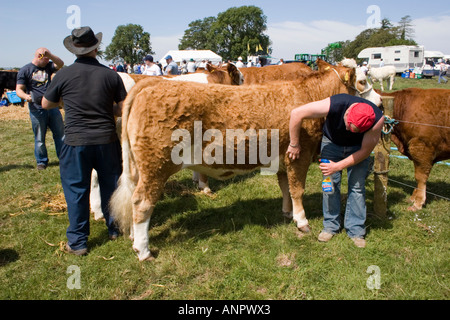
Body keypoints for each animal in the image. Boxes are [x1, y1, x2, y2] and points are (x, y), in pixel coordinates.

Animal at [110, 63, 372, 262]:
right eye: (361, 81)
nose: (378, 102)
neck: (309, 96)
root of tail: (151, 84)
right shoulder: (299, 154)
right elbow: (297, 189)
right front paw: (301, 221)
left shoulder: (281, 159)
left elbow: (285, 187)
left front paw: (287, 213)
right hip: (156, 167)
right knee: (142, 202)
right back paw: (143, 250)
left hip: (137, 168)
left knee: (132, 198)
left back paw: (133, 237)